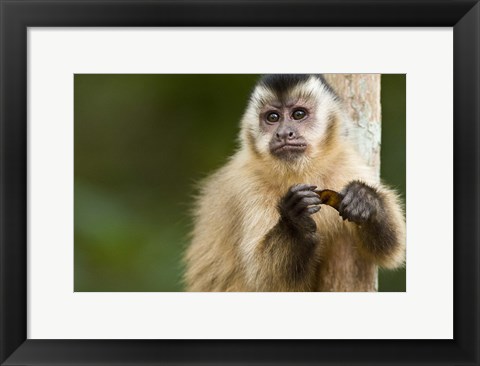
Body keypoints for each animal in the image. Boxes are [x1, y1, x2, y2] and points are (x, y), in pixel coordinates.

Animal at [184, 74, 404, 292]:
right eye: (272, 117)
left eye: (298, 114)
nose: (283, 133)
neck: (299, 172)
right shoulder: (247, 184)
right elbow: (265, 278)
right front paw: (295, 221)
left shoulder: (346, 164)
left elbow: (388, 249)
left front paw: (366, 199)